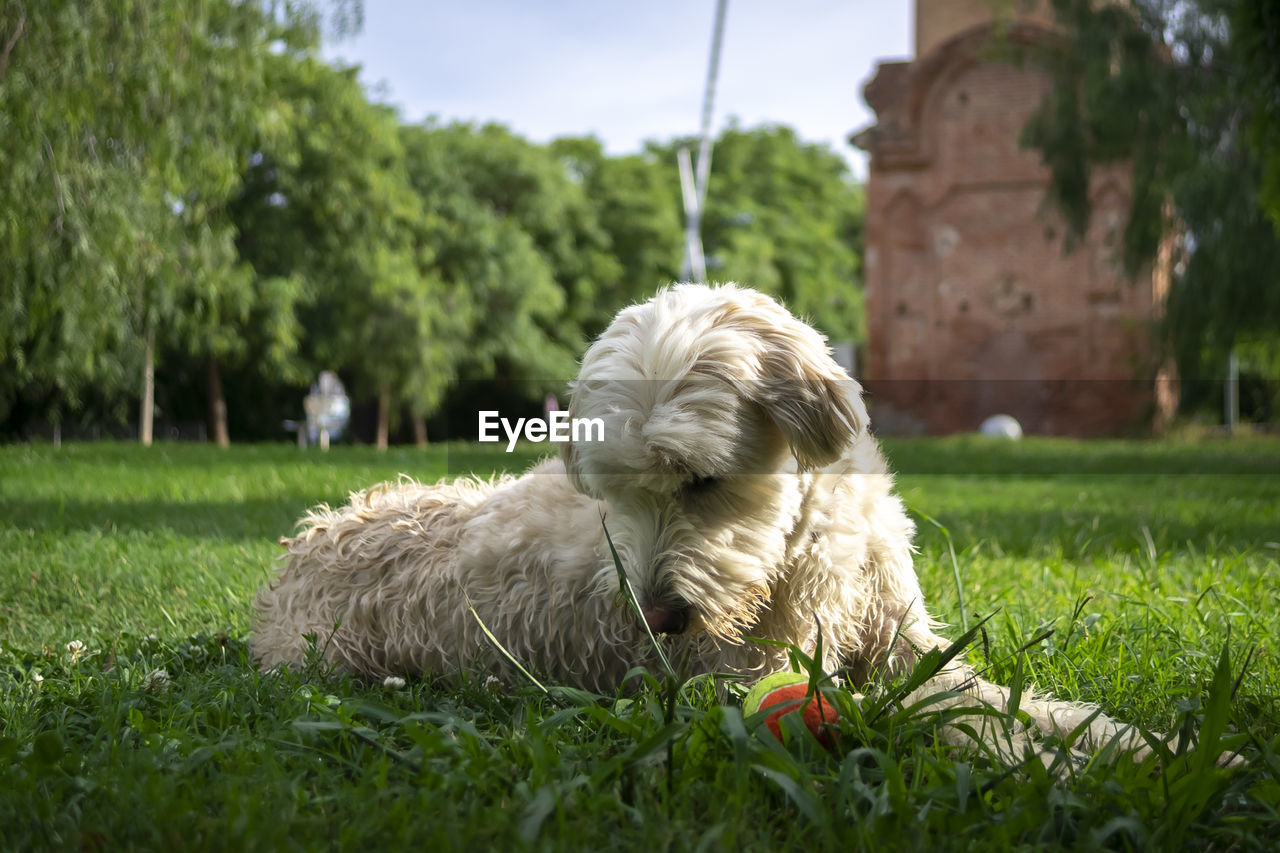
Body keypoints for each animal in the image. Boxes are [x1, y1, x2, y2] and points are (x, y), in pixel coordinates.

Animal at [254, 280, 1157, 758]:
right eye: (617, 493)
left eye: (701, 480)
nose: (657, 617)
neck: (803, 550)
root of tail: (301, 545)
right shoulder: (750, 679)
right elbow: (946, 723)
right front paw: (1049, 766)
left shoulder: (911, 650)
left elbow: (1007, 699)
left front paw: (1131, 743)